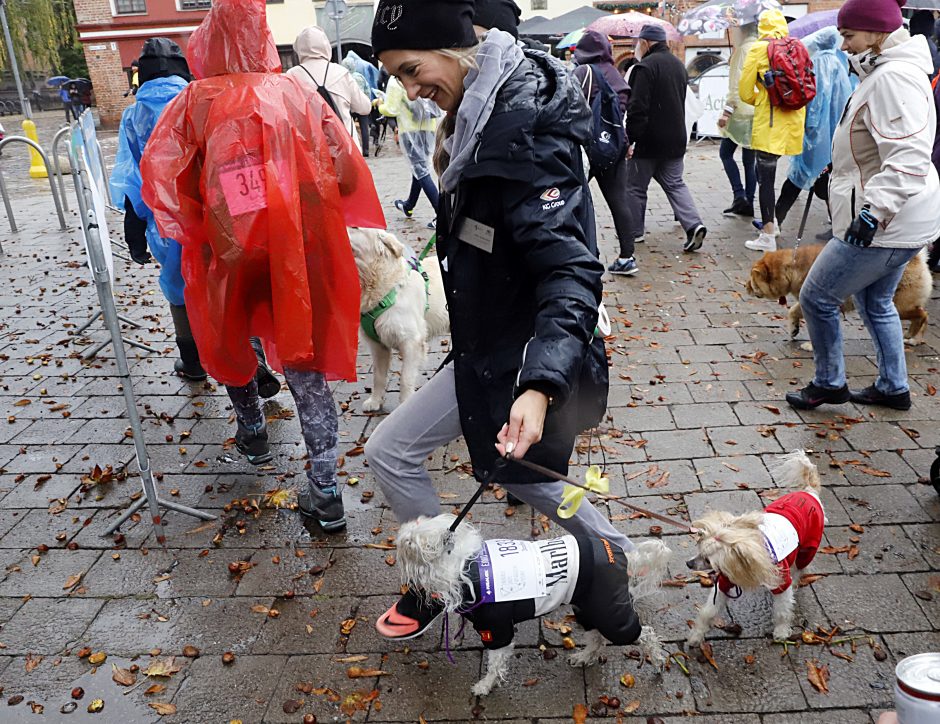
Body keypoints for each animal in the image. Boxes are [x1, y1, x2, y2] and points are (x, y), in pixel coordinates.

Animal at [346, 232, 450, 412]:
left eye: (355, 228)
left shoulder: (412, 343)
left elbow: (405, 378)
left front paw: (406, 404)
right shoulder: (378, 346)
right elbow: (378, 377)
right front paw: (375, 401)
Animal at [392, 512, 672, 700]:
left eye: (409, 541)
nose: (399, 533)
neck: (466, 568)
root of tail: (627, 556)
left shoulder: (496, 629)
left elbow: (495, 663)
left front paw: (485, 686)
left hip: (610, 613)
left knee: (645, 634)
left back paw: (658, 661)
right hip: (589, 607)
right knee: (596, 637)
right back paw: (583, 657)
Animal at [684, 452, 824, 644]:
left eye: (708, 560)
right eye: (699, 550)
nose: (688, 564)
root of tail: (809, 491)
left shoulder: (782, 582)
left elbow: (782, 610)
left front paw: (781, 631)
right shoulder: (725, 580)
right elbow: (709, 611)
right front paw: (696, 635)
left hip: (807, 549)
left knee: (799, 569)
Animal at [744, 245, 928, 344]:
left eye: (752, 279)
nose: (745, 287)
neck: (792, 268)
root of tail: (917, 259)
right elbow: (793, 311)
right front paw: (794, 328)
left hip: (900, 306)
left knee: (922, 315)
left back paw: (912, 335)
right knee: (922, 315)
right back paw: (915, 339)